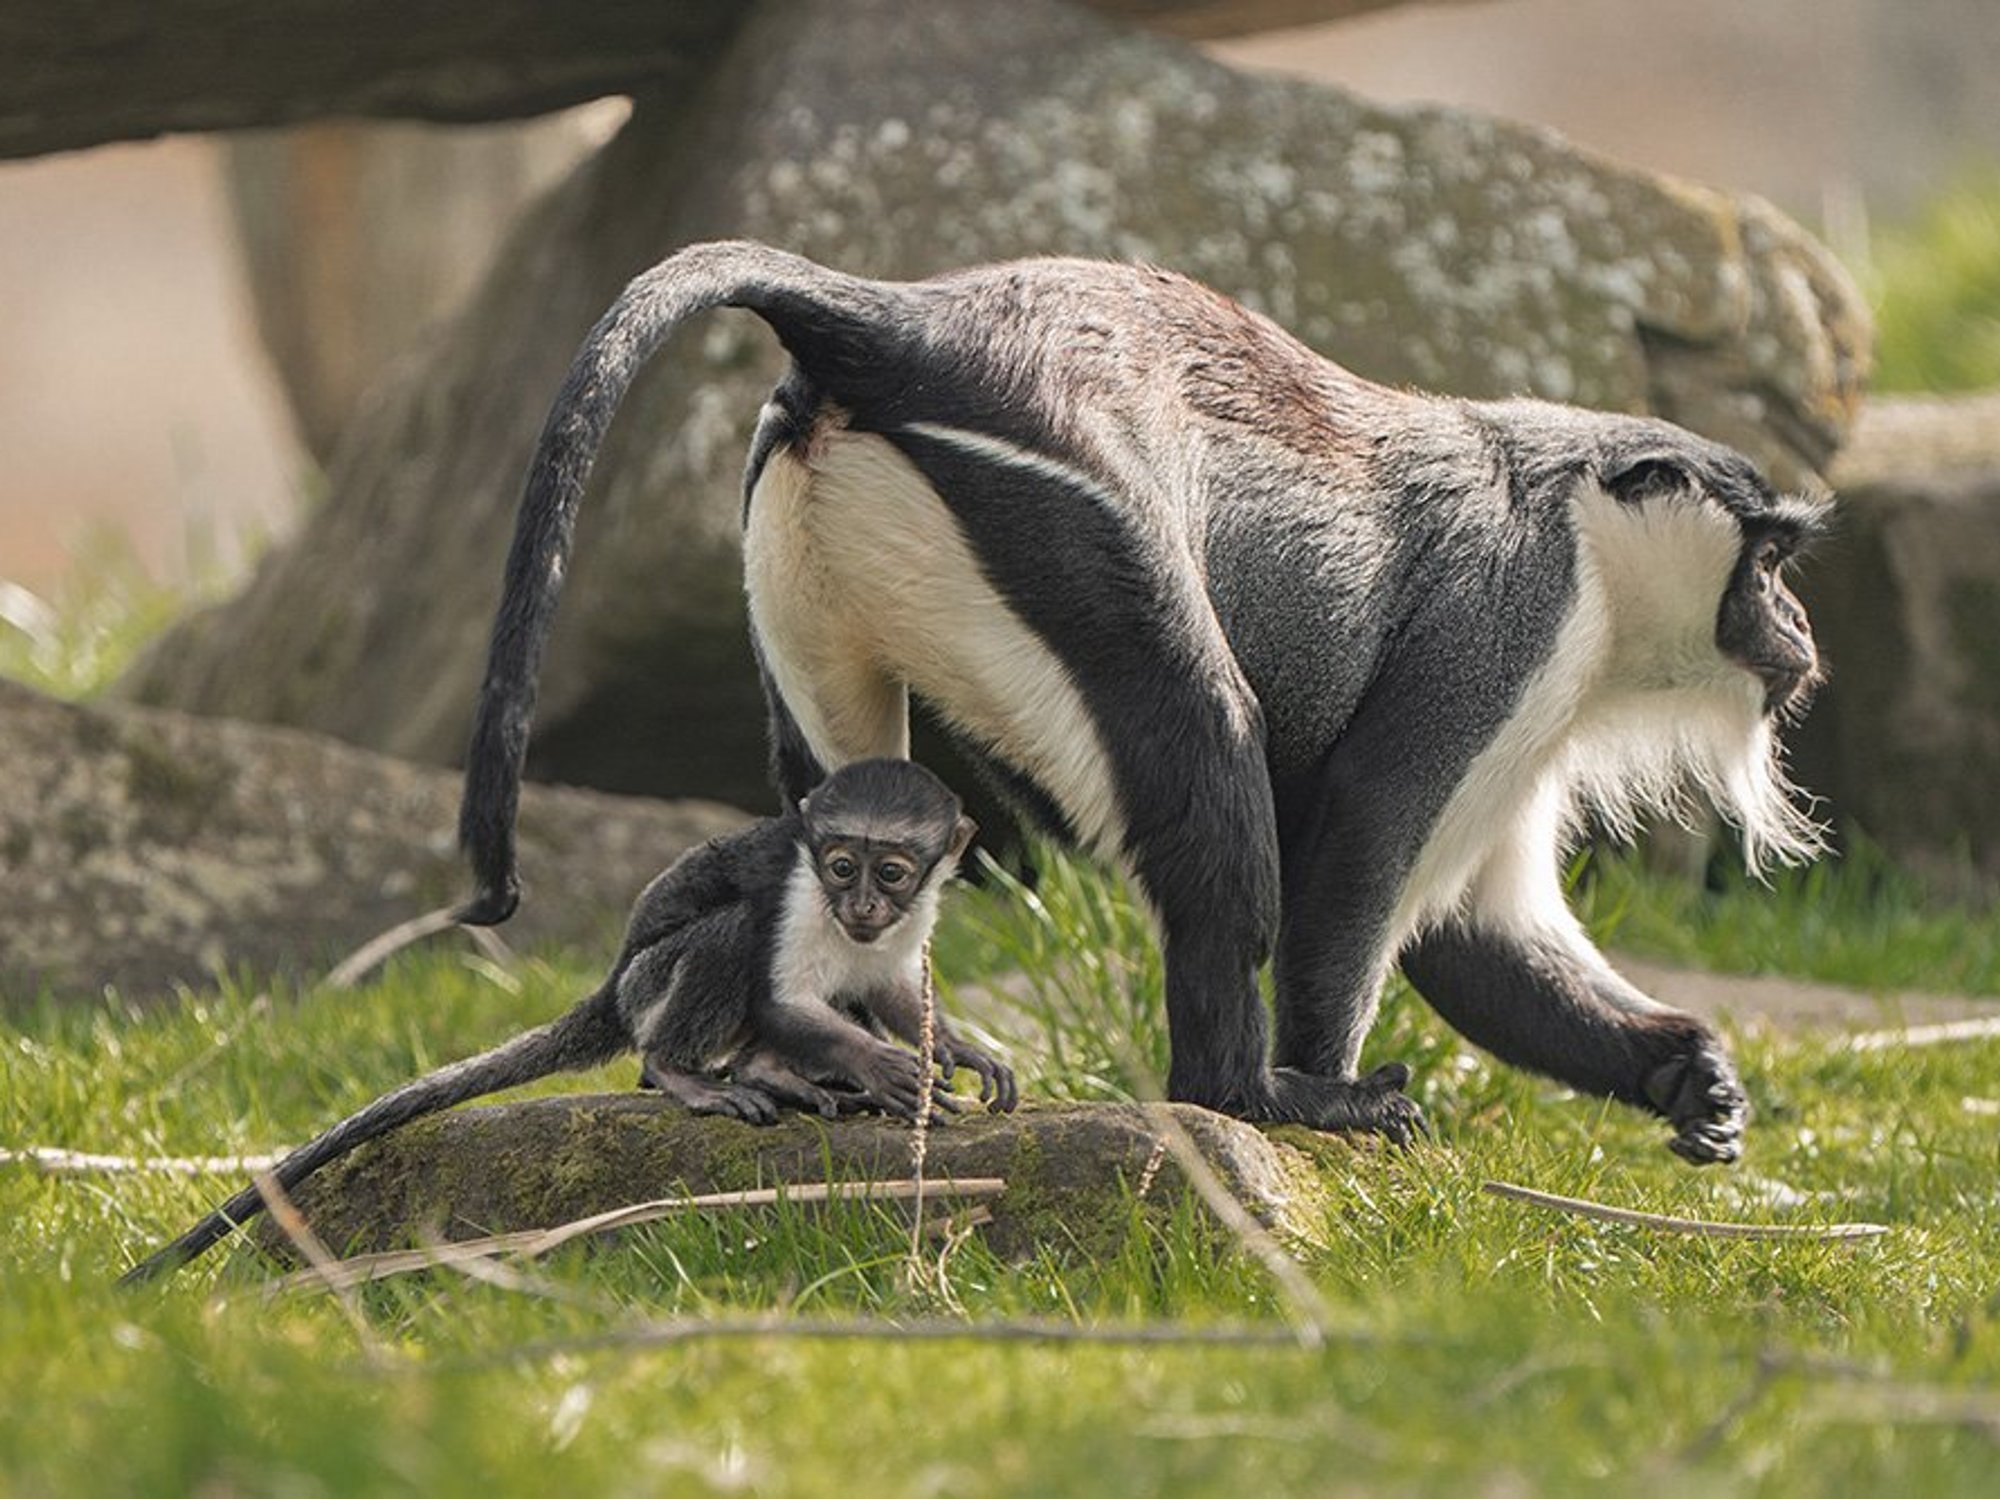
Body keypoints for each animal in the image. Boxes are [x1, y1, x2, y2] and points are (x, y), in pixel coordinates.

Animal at [122, 758, 1015, 1284]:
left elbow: (893, 989)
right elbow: (780, 996)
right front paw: (886, 1071)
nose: (860, 903)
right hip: (652, 984)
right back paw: (694, 1072)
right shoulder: (796, 893)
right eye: (838, 864)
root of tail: (614, 982)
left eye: (890, 872)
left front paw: (959, 1051)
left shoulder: (903, 924)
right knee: (724, 941)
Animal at [455, 240, 1826, 1164]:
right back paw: (1248, 1095)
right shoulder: (1506, 625)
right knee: (1208, 756)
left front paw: (1687, 1073)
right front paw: (1326, 1089)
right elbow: (1361, 856)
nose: (1800, 633)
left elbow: (1475, 931)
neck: (1582, 520)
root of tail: (896, 324)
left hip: (804, 561)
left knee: (829, 801)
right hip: (1072, 528)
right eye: (1767, 558)